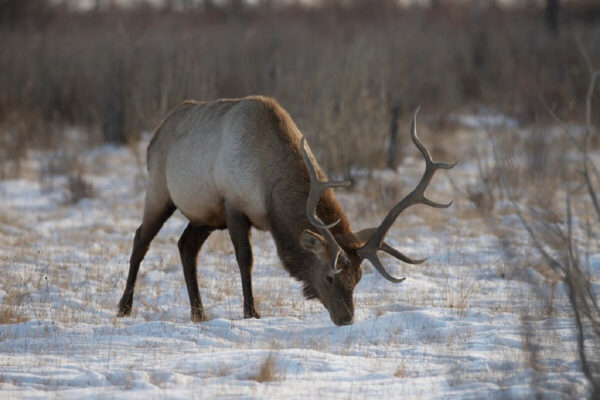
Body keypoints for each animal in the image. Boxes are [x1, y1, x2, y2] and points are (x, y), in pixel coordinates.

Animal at [116, 96, 454, 324]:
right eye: (330, 277)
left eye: (358, 278)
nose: (346, 319)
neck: (270, 191)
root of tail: (155, 135)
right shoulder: (234, 205)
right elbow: (245, 259)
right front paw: (251, 311)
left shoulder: (224, 210)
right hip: (159, 191)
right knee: (140, 239)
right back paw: (124, 307)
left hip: (204, 215)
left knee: (186, 246)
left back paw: (198, 313)